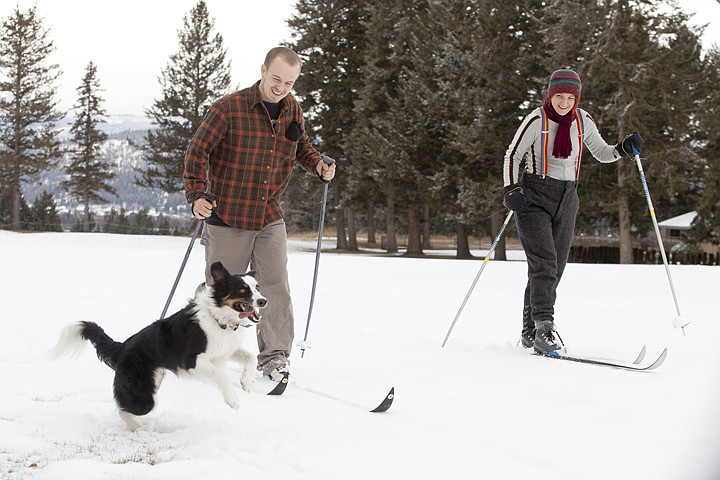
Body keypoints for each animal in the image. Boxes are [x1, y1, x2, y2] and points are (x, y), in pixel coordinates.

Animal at [49, 262, 268, 432]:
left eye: (257, 287)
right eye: (242, 290)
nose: (263, 301)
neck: (219, 318)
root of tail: (122, 348)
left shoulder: (225, 349)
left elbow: (251, 356)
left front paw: (247, 382)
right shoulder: (191, 360)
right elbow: (221, 375)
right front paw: (233, 400)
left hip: (153, 383)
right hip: (143, 397)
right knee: (122, 410)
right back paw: (139, 429)